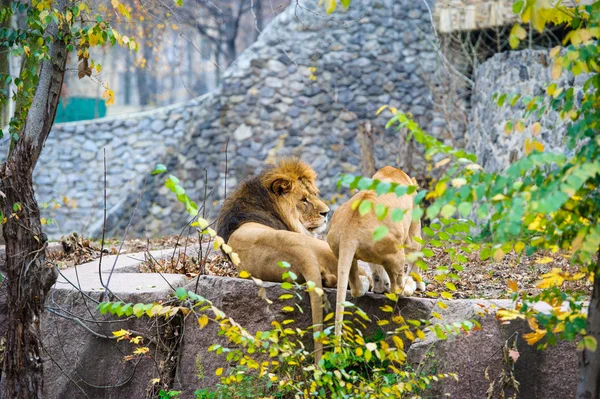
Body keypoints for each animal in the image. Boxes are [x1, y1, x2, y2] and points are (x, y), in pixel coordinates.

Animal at [326, 167, 424, 340]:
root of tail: (349, 230)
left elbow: (377, 268)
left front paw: (380, 286)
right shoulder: (413, 230)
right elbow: (415, 255)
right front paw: (419, 285)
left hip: (344, 254)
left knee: (356, 286)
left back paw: (370, 285)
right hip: (396, 252)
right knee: (397, 288)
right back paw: (409, 286)